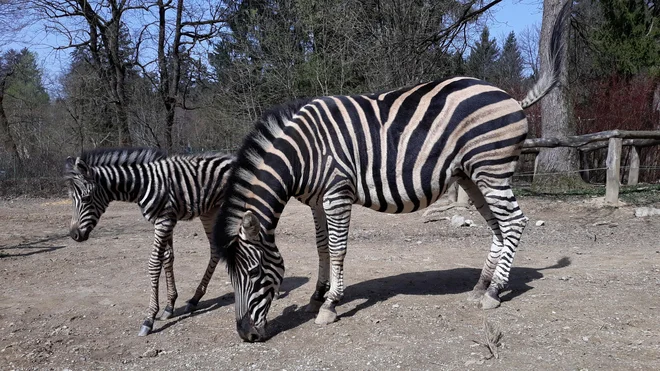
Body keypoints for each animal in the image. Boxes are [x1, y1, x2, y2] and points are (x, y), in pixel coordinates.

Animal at [63, 147, 235, 338]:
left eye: (86, 199)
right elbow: (167, 257)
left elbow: (154, 263)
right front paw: (169, 306)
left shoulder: (164, 221)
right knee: (217, 249)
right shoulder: (166, 220)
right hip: (210, 211)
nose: (74, 235)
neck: (143, 184)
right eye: (71, 198)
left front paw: (149, 318)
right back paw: (195, 299)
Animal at [218, 2, 572, 342]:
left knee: (514, 222)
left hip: (492, 170)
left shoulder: (337, 195)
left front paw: (330, 304)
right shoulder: (317, 201)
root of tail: (511, 97)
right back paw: (480, 287)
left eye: (253, 273)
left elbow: (337, 247)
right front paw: (317, 295)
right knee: (499, 227)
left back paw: (495, 292)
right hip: (471, 176)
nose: (246, 334)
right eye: (230, 277)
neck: (304, 154)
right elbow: (320, 245)